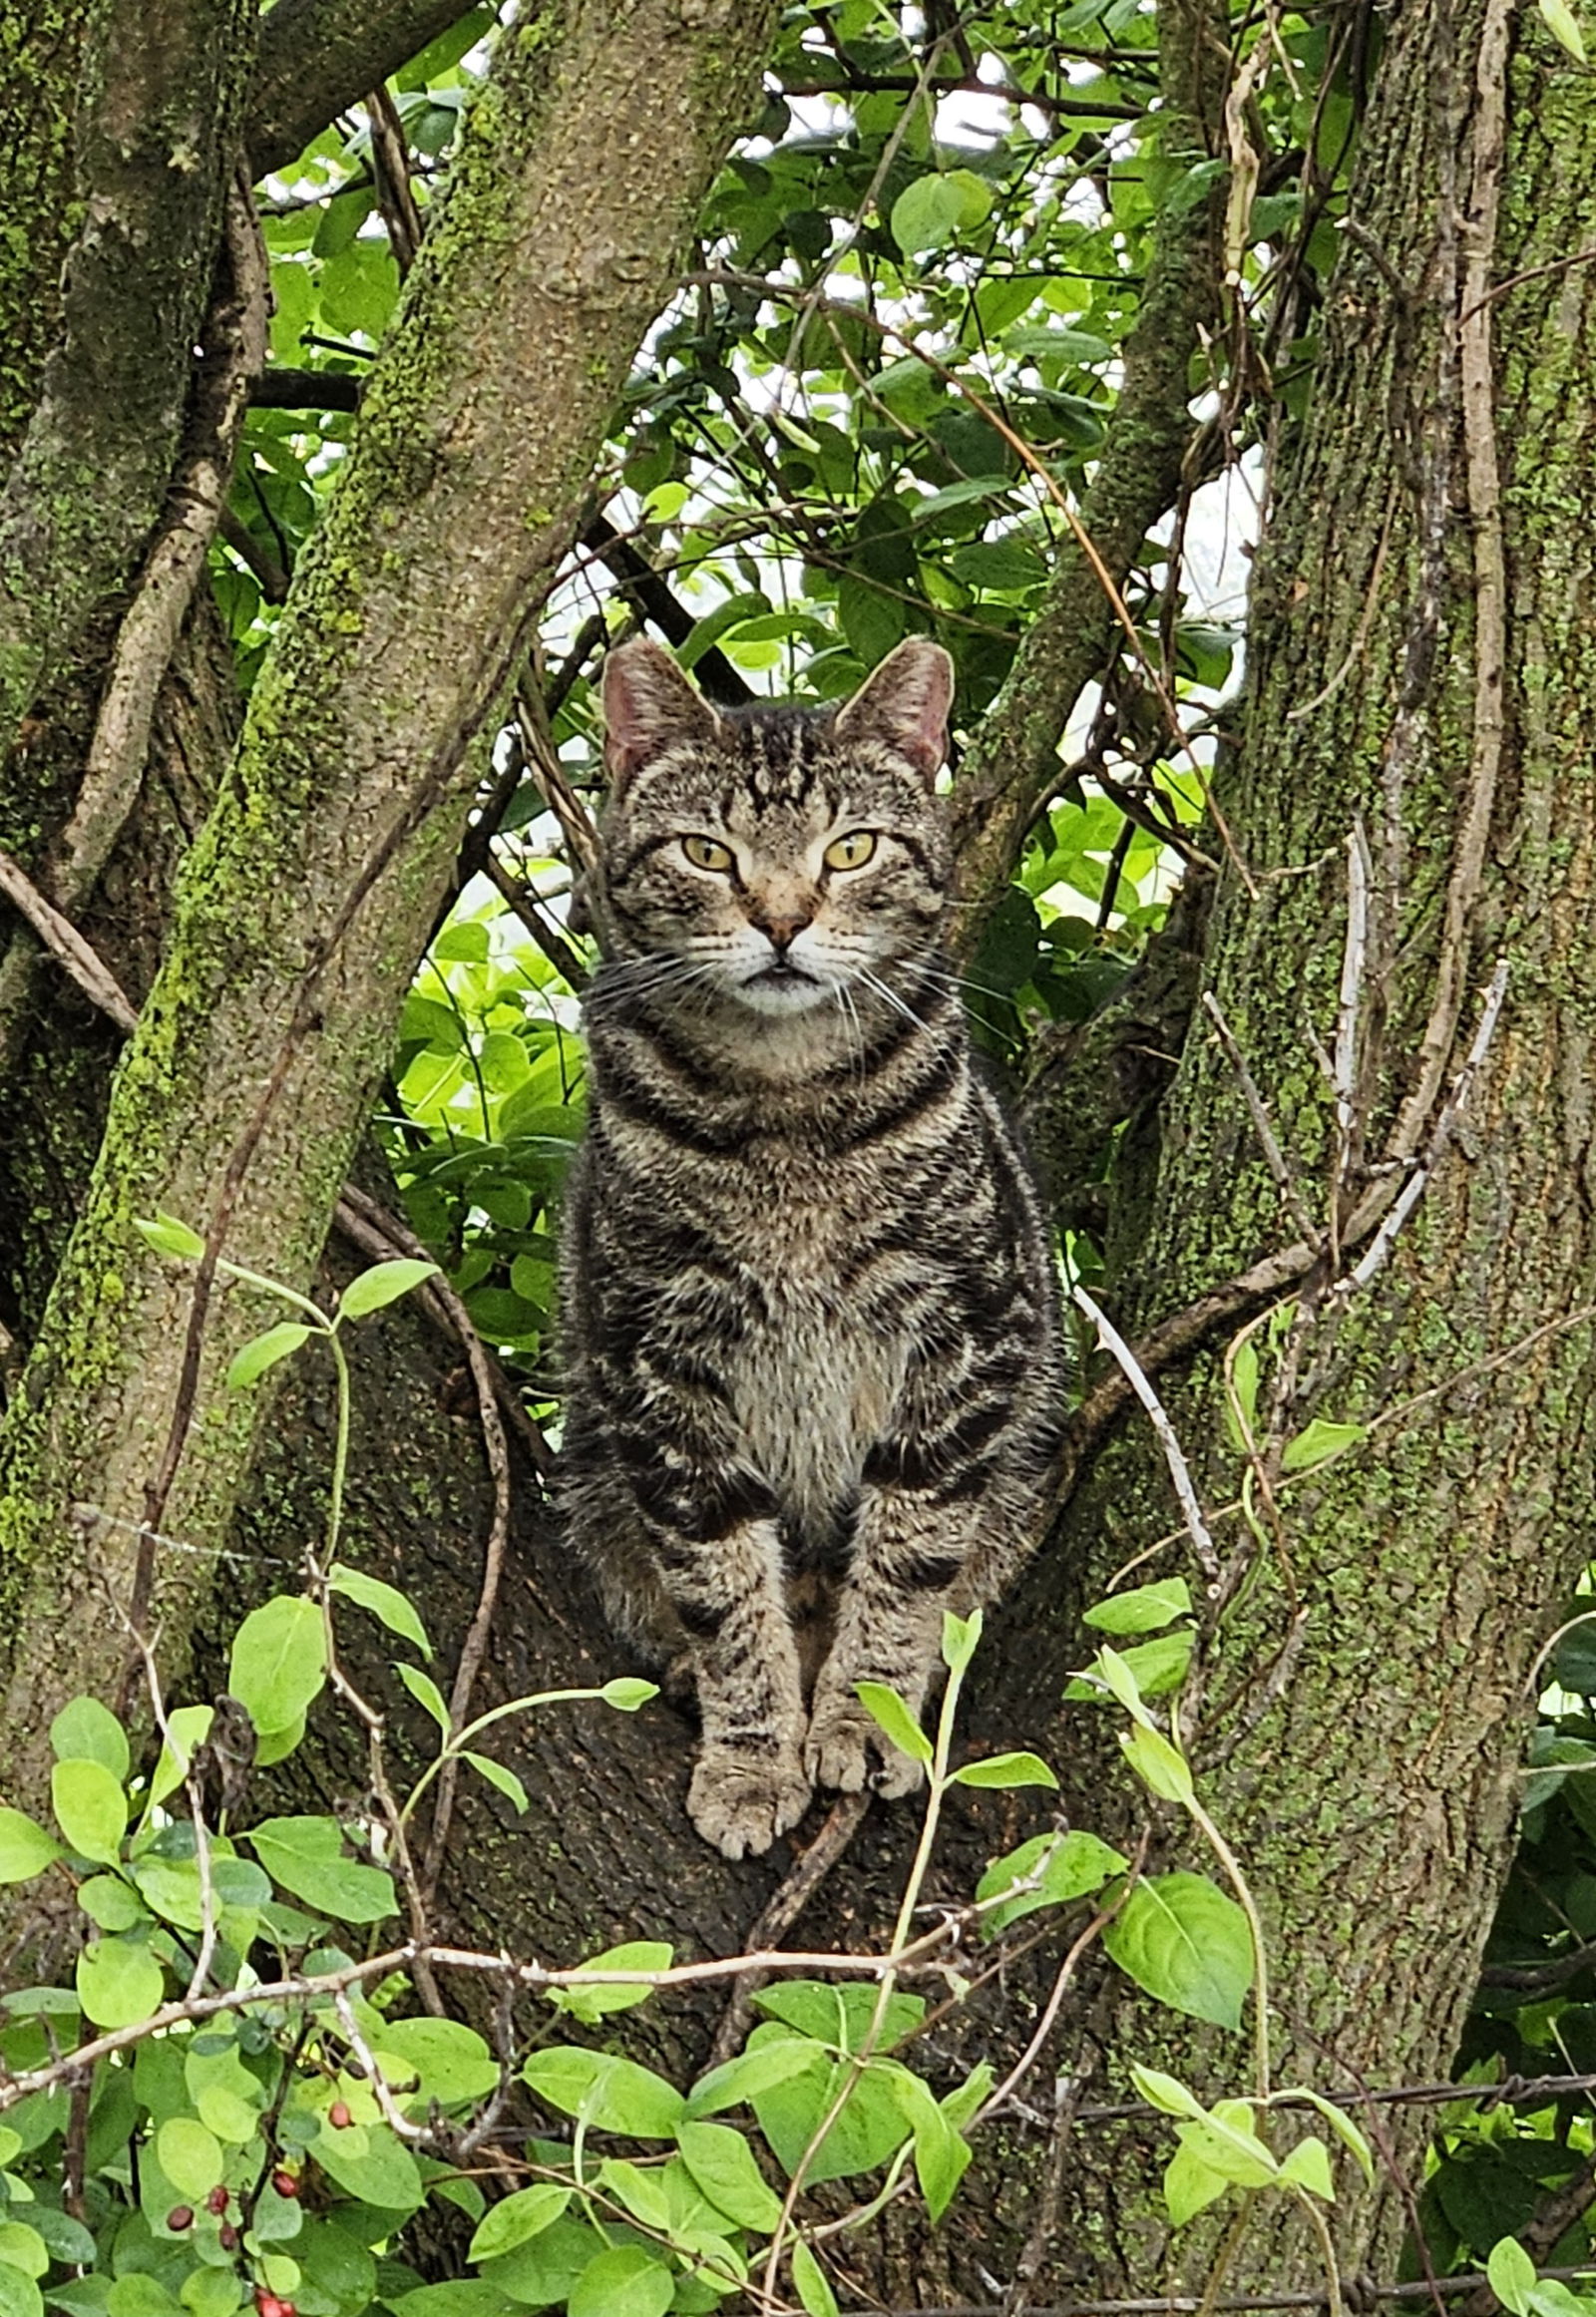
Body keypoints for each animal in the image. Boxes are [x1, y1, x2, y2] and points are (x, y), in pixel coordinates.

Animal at [554, 634, 1065, 1862]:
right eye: (706, 851)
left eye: (851, 848)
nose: (782, 922)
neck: (782, 1106)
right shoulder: (655, 1362)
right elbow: (725, 1582)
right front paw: (750, 1753)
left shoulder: (967, 1336)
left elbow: (910, 1552)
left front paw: (867, 1716)